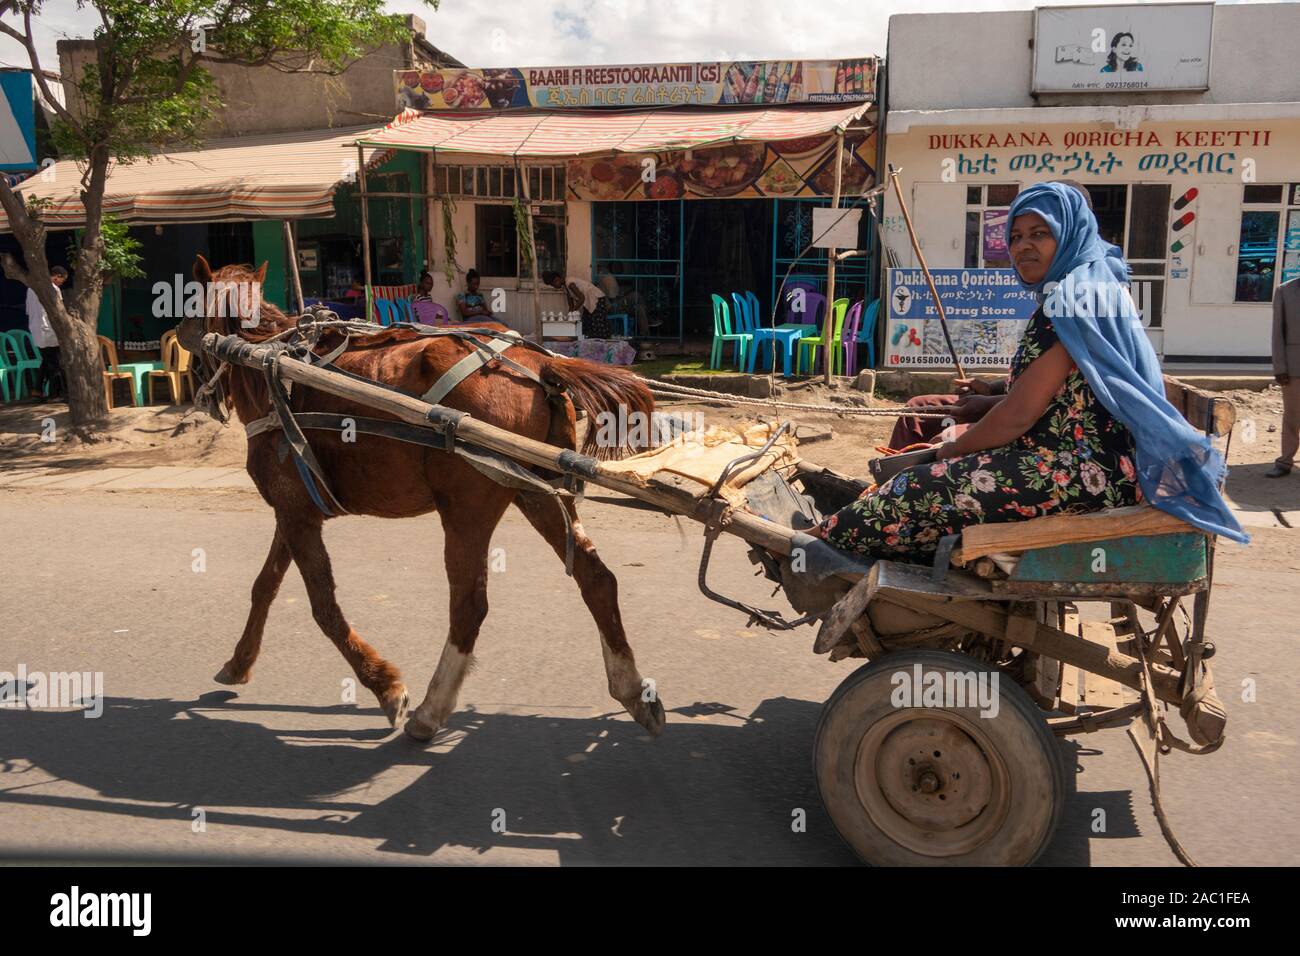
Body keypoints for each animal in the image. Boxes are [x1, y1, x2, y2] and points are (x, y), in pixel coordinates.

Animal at [178, 256, 665, 738]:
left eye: (191, 304)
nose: (186, 346)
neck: (264, 360)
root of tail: (538, 367)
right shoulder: (295, 509)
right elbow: (265, 586)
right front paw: (238, 662)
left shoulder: (295, 511)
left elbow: (322, 605)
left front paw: (386, 687)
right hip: (538, 492)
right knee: (595, 578)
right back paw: (632, 690)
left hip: (467, 510)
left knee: (469, 605)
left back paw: (431, 710)